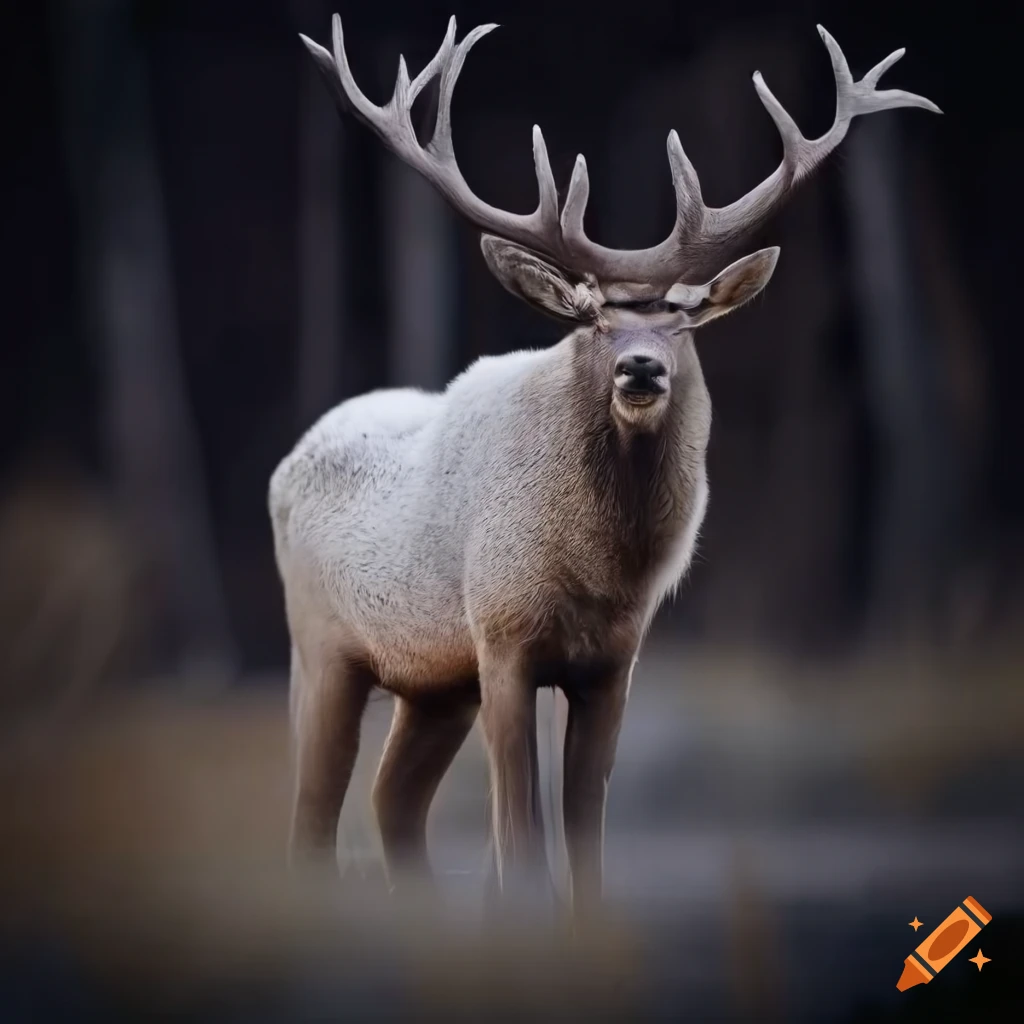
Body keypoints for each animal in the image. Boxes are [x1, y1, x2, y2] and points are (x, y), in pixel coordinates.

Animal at [270, 13, 939, 919]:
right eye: (592, 319)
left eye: (685, 322)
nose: (642, 368)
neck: (597, 574)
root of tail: (286, 464)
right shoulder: (503, 636)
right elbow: (522, 846)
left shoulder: (612, 663)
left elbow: (586, 848)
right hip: (322, 648)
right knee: (311, 820)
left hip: (435, 681)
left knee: (390, 799)